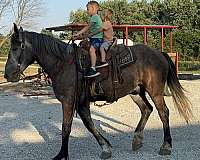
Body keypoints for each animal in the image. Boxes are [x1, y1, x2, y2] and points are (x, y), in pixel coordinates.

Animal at [4, 24, 192, 160]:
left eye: (16, 48)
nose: (7, 74)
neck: (63, 63)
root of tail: (159, 53)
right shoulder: (81, 103)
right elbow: (89, 124)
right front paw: (106, 147)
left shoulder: (68, 101)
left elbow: (66, 127)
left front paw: (62, 155)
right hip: (136, 91)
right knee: (147, 109)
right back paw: (137, 140)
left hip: (155, 91)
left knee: (163, 112)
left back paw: (166, 146)